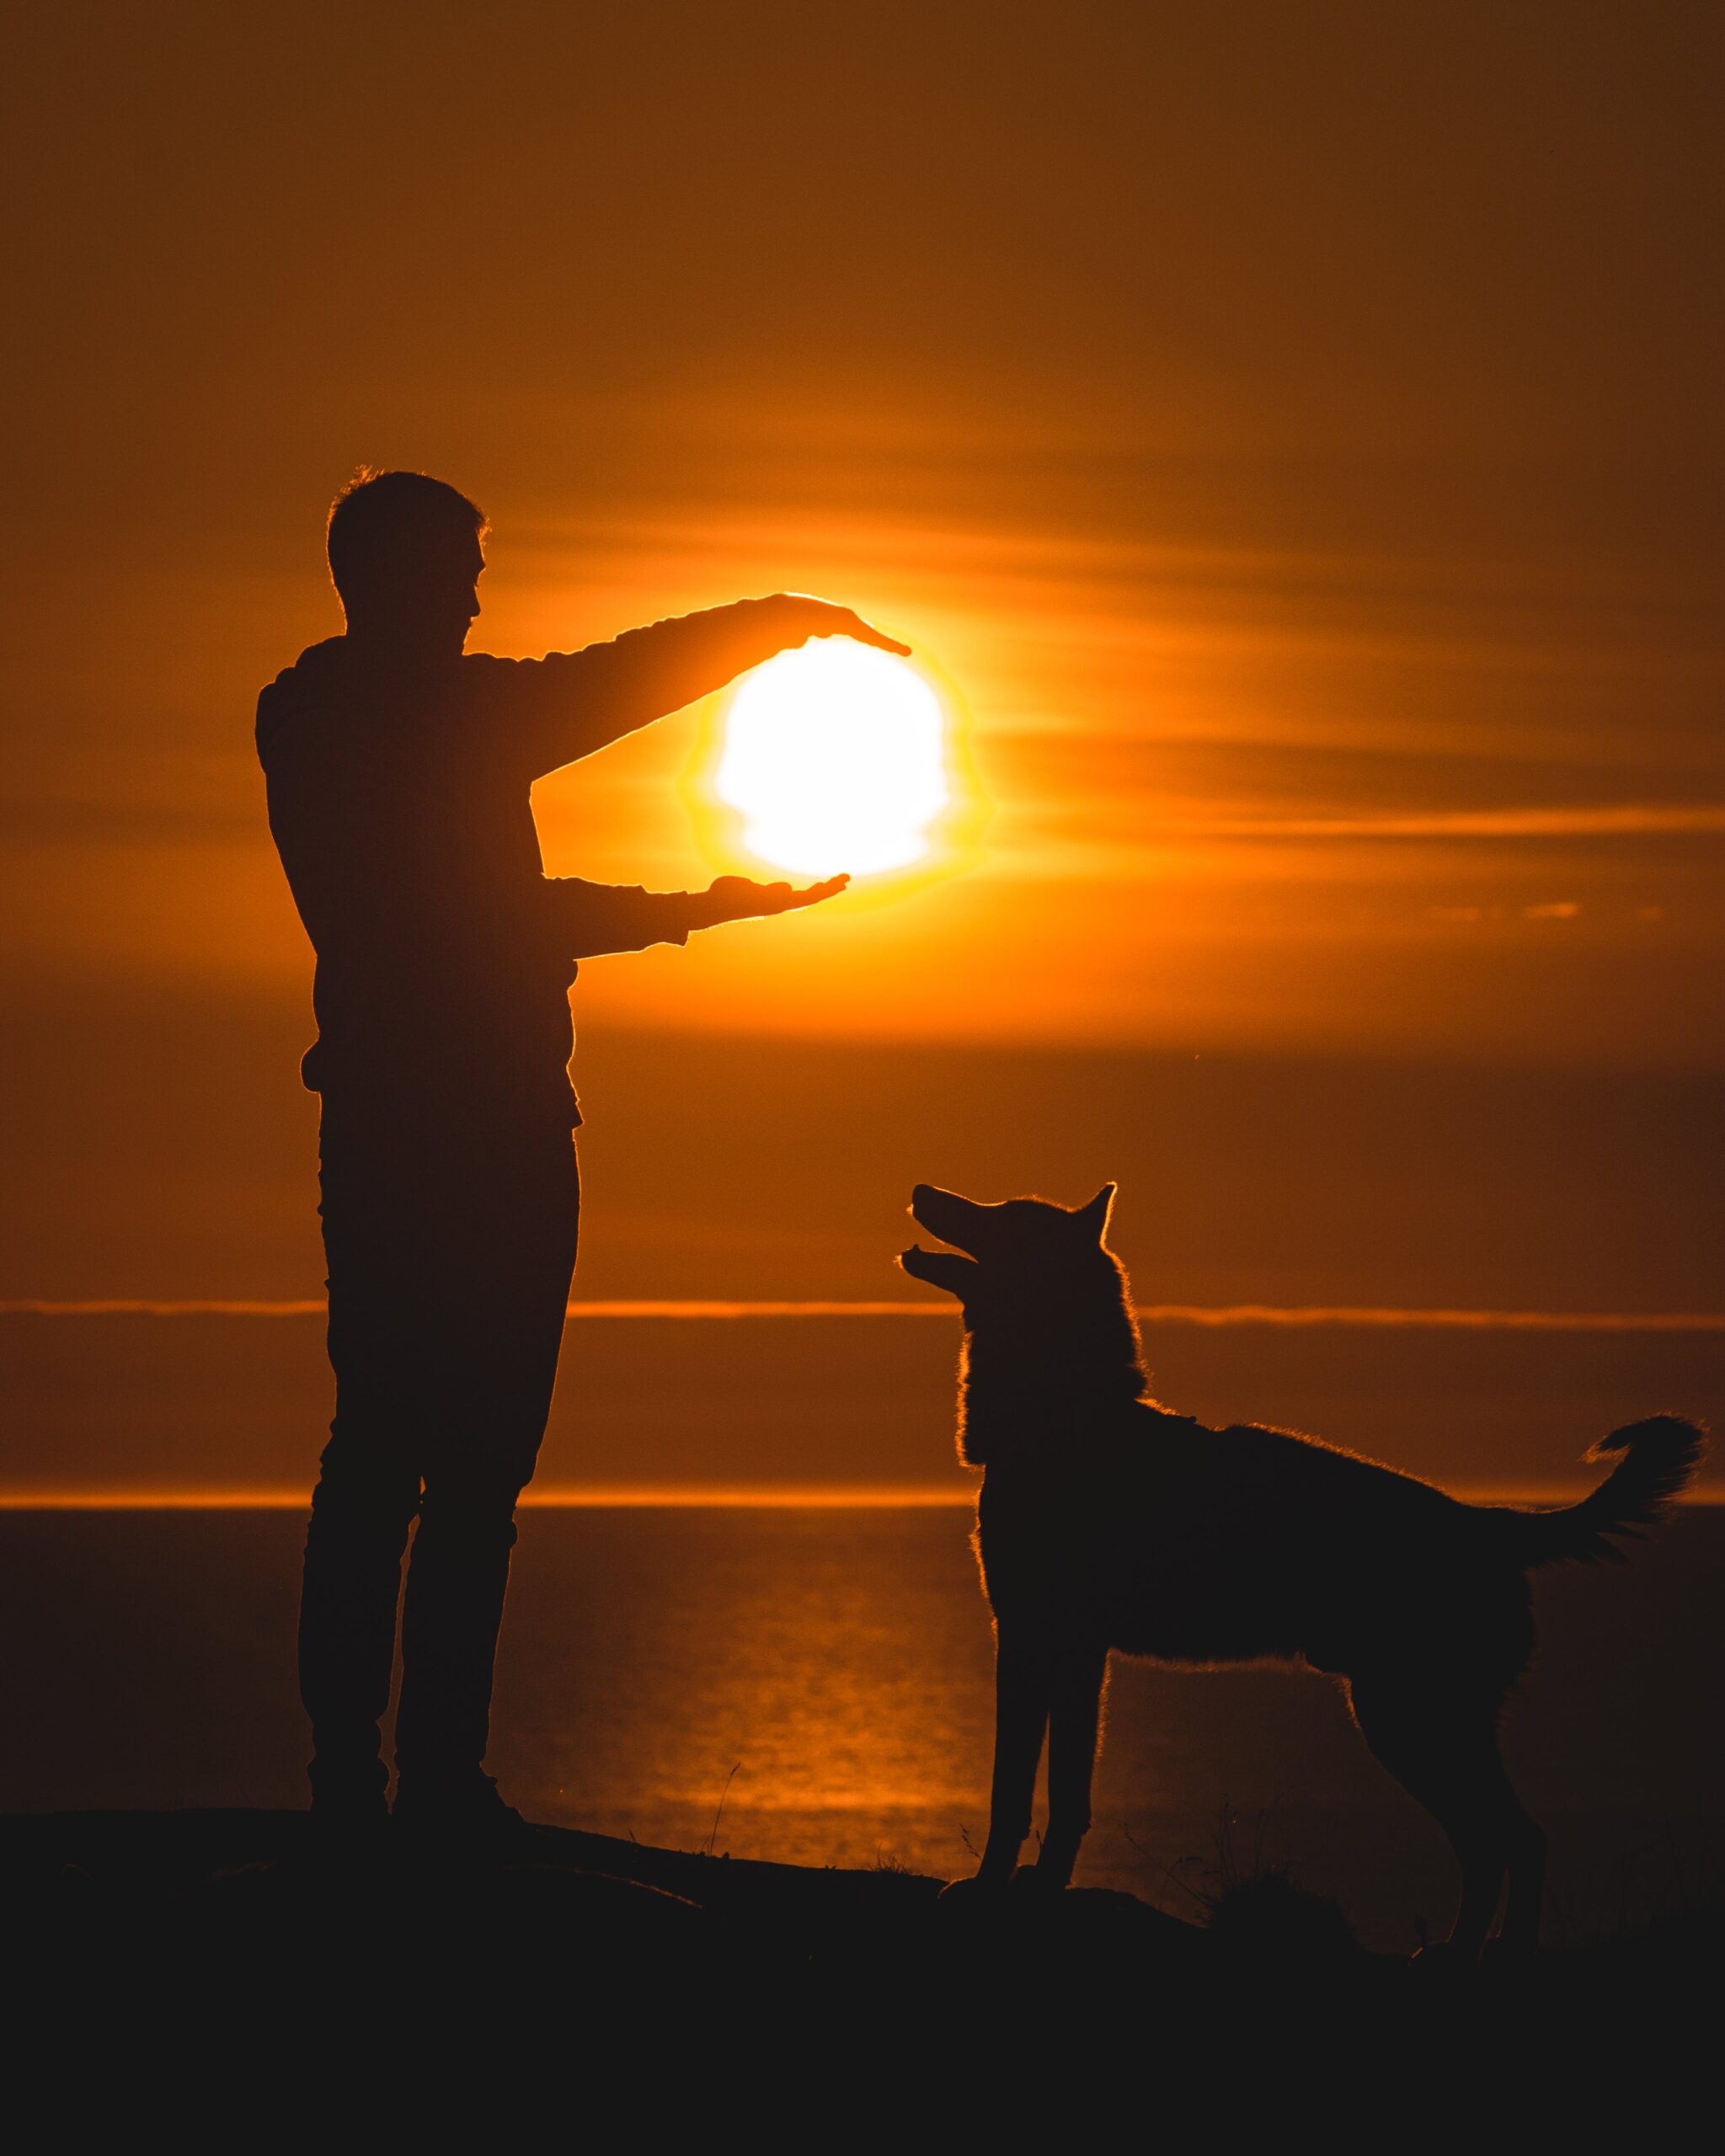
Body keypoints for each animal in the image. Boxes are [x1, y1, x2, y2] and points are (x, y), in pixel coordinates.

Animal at [896, 1190, 1707, 1966]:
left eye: (1001, 1214)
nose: (921, 1187)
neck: (1064, 1421)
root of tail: (1489, 1521)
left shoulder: (1051, 1646)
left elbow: (1032, 1793)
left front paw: (1010, 1893)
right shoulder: (1048, 1646)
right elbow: (1033, 1793)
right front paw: (1017, 1885)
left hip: (1408, 1720)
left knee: (1512, 1837)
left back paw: (1496, 1951)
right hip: (1417, 1722)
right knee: (1497, 1842)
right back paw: (1462, 1949)